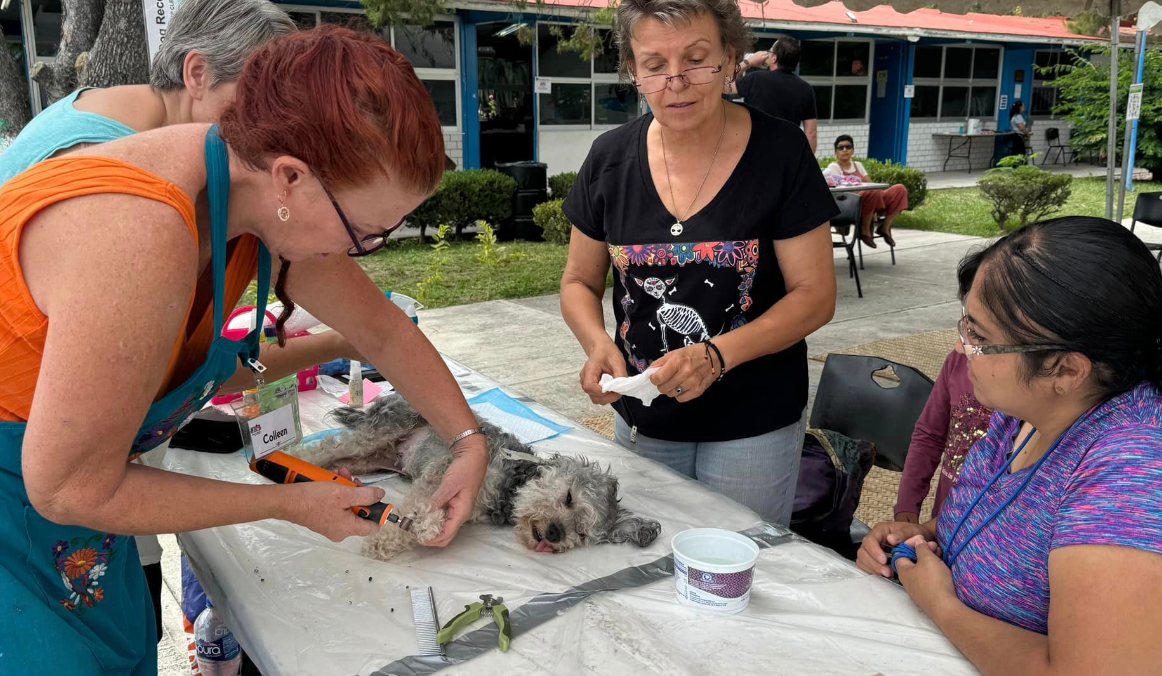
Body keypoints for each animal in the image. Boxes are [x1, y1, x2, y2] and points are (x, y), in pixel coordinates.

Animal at [297, 397, 664, 562]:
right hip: (379, 434)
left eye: (583, 533)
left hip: (373, 459)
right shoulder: (445, 471)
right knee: (325, 448)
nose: (556, 533)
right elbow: (417, 508)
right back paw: (294, 461)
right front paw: (384, 540)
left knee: (341, 459)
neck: (509, 486)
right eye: (569, 497)